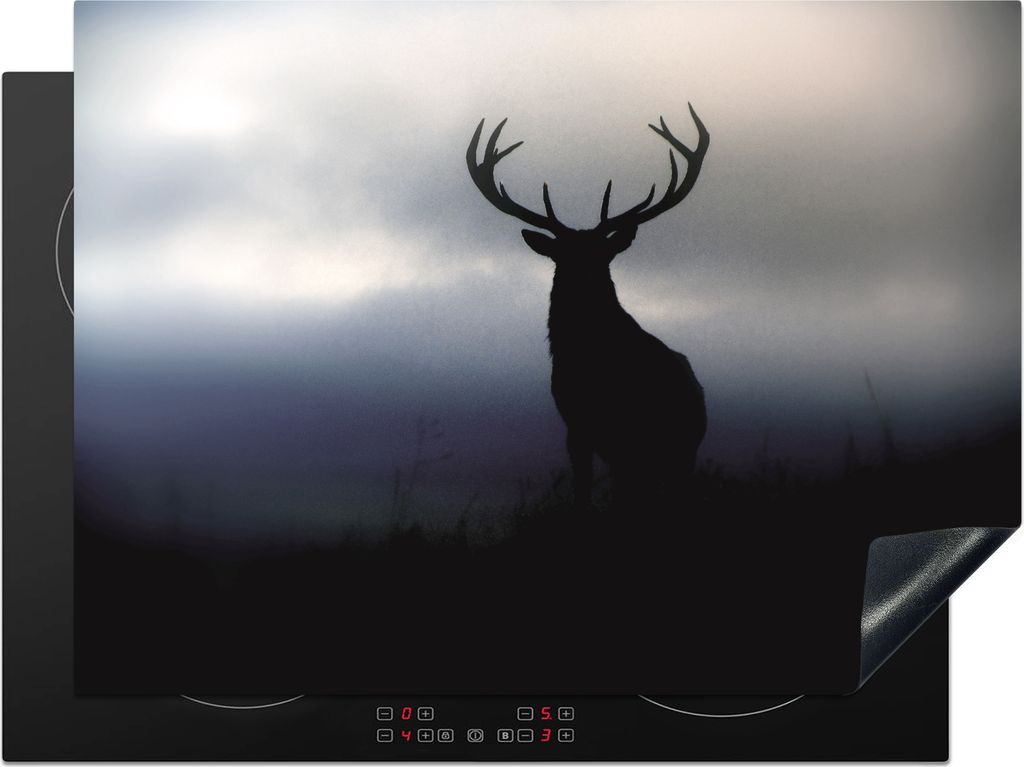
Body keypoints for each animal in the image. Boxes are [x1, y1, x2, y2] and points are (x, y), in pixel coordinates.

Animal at [467, 105, 709, 513]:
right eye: (562, 257)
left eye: (602, 256)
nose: (582, 281)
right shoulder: (576, 425)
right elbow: (582, 487)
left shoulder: (626, 431)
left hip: (680, 449)